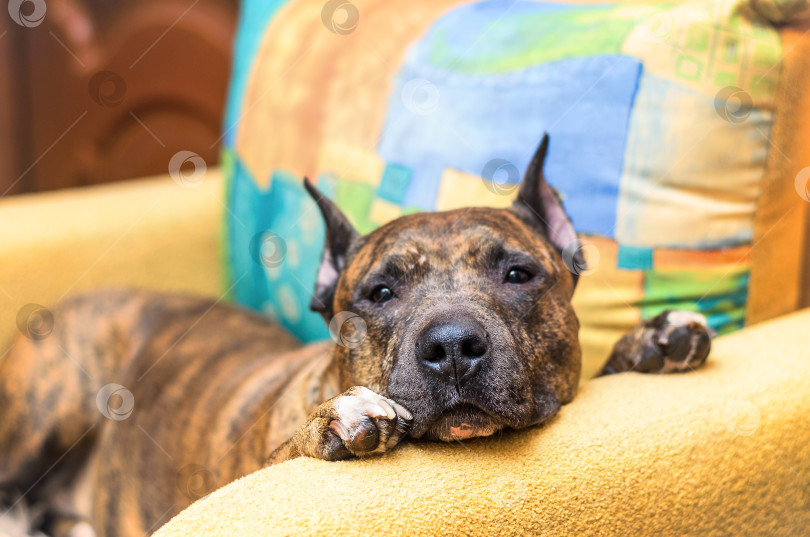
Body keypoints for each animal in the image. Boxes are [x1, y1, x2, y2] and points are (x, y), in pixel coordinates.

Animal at [0, 136, 708, 536]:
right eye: (380, 293)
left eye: (518, 274)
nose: (453, 347)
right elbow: (289, 450)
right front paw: (335, 421)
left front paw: (652, 341)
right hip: (48, 412)